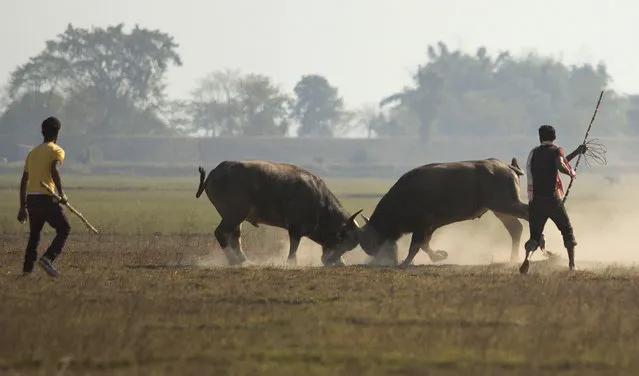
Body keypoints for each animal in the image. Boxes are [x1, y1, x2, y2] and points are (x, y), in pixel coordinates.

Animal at [195, 160, 364, 266]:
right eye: (342, 239)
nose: (334, 262)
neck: (320, 205)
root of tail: (212, 175)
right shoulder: (295, 227)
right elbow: (294, 245)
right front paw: (292, 263)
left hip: (236, 218)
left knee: (235, 237)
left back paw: (244, 261)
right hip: (234, 214)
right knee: (221, 233)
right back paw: (234, 261)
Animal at [324, 158, 544, 268]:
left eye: (368, 242)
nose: (379, 259)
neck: (404, 196)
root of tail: (506, 166)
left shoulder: (422, 225)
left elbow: (416, 246)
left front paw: (405, 262)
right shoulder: (429, 227)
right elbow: (425, 245)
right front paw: (439, 255)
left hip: (507, 204)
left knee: (529, 215)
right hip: (500, 209)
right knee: (516, 228)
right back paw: (513, 258)